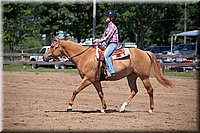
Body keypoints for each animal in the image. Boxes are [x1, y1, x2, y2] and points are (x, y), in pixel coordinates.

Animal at [43, 36, 172, 113]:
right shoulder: (95, 81)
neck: (84, 57)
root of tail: (145, 52)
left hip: (144, 76)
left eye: (52, 46)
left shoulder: (88, 79)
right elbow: (101, 94)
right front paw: (103, 108)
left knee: (150, 90)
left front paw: (69, 107)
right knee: (134, 90)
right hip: (131, 76)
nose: (44, 57)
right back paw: (122, 107)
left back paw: (150, 109)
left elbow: (75, 90)